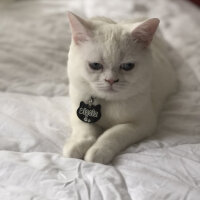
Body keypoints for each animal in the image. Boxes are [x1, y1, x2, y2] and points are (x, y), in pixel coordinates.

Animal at [63, 11, 177, 164]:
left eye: (127, 66)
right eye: (95, 65)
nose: (111, 80)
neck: (107, 103)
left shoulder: (142, 124)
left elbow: (113, 133)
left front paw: (98, 151)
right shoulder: (76, 110)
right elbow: (85, 130)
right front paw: (76, 145)